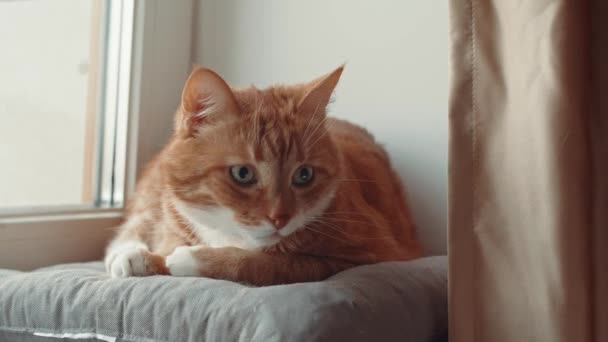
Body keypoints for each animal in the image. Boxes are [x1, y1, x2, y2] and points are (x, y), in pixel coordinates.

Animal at [104, 65, 420, 284]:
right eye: (243, 173)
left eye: (304, 175)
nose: (280, 218)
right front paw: (149, 258)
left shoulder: (371, 254)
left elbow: (274, 263)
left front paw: (192, 259)